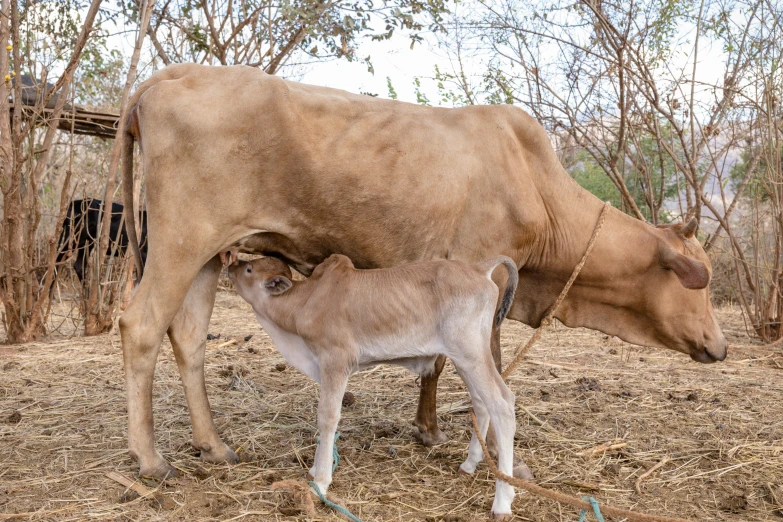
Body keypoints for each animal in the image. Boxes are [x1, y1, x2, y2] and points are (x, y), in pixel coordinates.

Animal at [121, 63, 728, 478]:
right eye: (700, 280)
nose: (721, 346)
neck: (533, 180)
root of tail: (175, 74)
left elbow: (436, 361)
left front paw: (429, 430)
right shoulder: (486, 272)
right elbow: (487, 369)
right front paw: (497, 457)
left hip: (208, 255)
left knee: (189, 337)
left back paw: (213, 444)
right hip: (180, 243)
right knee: (142, 327)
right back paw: (150, 459)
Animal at [228, 252, 520, 516]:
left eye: (249, 269)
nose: (231, 265)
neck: (306, 301)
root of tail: (479, 269)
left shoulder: (335, 361)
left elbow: (327, 417)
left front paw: (320, 480)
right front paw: (316, 469)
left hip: (470, 352)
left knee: (502, 403)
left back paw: (502, 502)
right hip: (465, 358)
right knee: (481, 402)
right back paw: (469, 464)